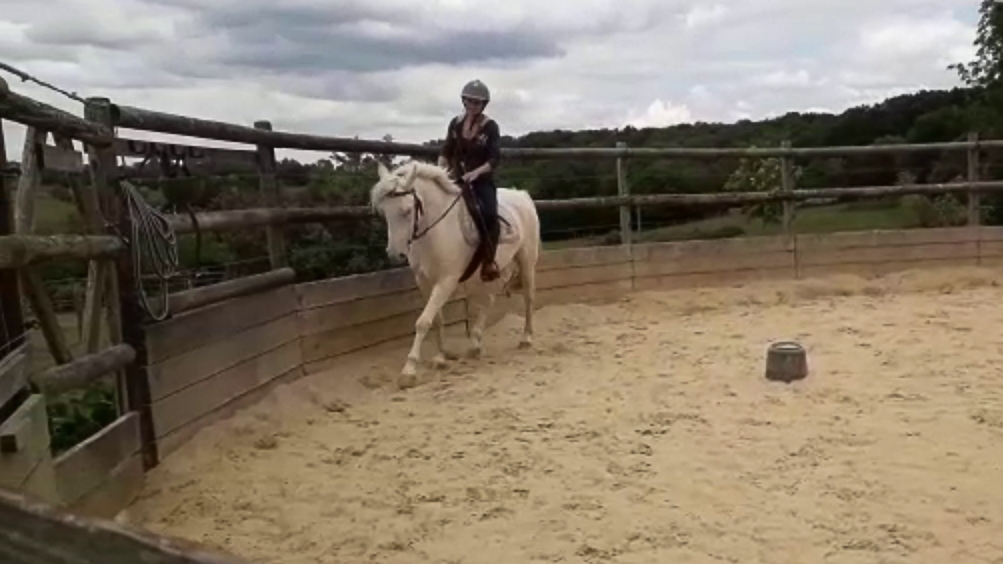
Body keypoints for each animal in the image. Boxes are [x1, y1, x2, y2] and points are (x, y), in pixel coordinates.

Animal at [369, 160, 541, 387]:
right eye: (383, 212)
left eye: (407, 211)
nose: (395, 255)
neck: (436, 230)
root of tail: (522, 195)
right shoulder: (424, 282)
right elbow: (436, 319)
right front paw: (441, 357)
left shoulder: (446, 281)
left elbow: (423, 321)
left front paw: (409, 371)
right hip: (489, 272)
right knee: (488, 300)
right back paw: (475, 344)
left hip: (526, 261)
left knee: (528, 298)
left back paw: (526, 339)